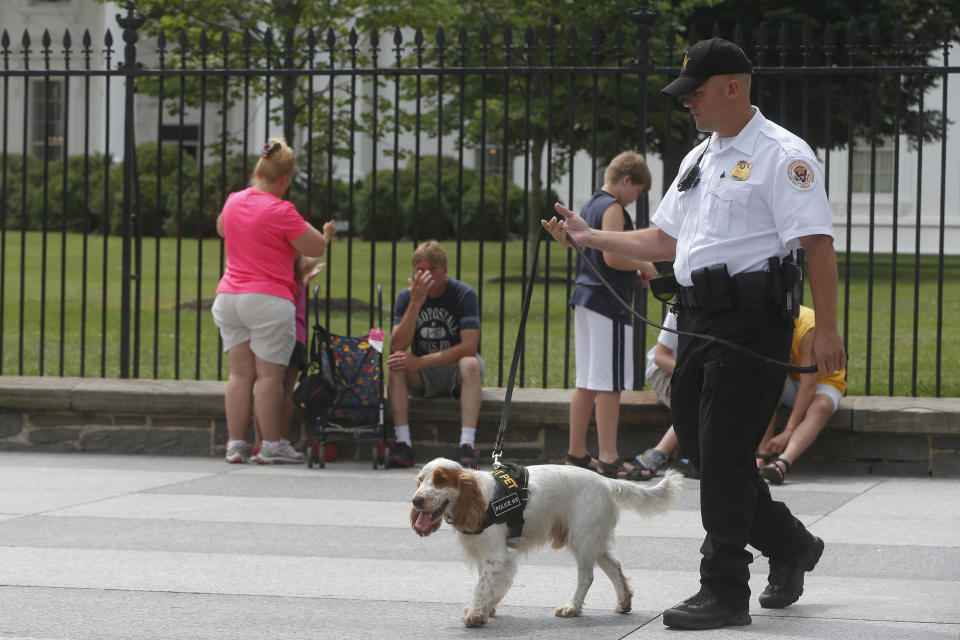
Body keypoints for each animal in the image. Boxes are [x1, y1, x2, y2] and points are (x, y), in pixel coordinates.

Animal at [410, 458, 684, 628]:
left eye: (440, 480)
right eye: (420, 480)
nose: (416, 501)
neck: (480, 498)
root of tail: (607, 481)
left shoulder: (496, 555)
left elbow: (481, 586)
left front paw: (477, 616)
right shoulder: (485, 553)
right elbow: (488, 585)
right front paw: (486, 609)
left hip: (582, 540)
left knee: (587, 577)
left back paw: (572, 608)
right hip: (594, 540)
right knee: (615, 568)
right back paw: (623, 603)